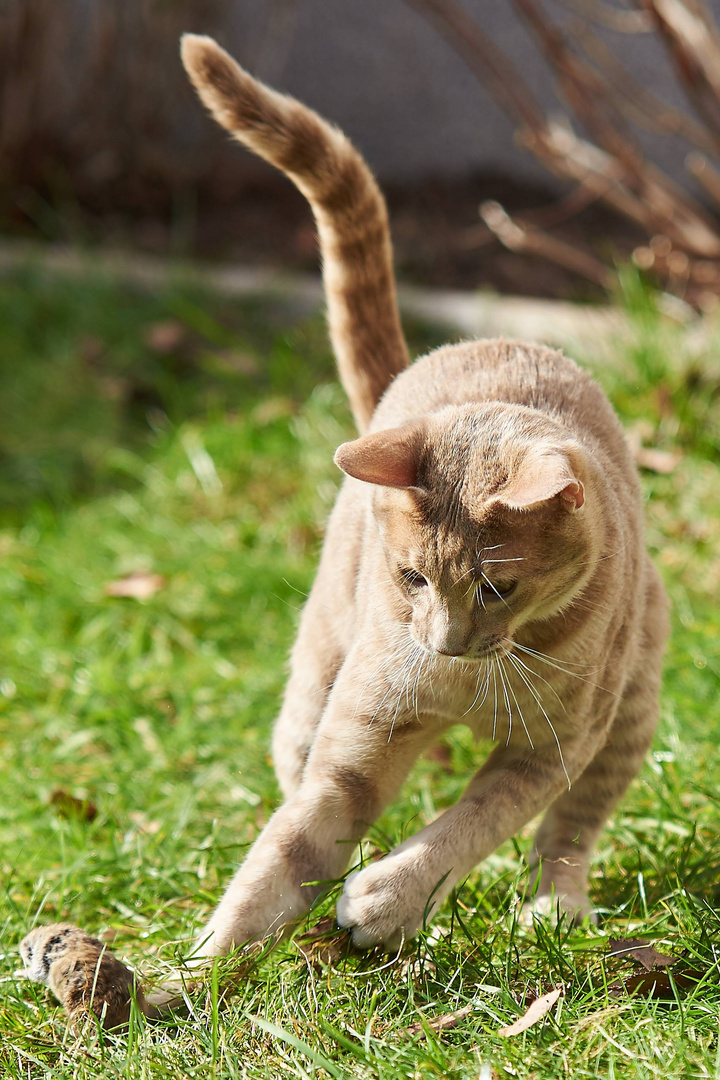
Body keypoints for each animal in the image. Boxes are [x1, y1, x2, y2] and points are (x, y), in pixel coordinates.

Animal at [180, 35, 669, 963]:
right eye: (410, 578)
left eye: (498, 587)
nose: (444, 645)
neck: (470, 688)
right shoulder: (356, 746)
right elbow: (284, 855)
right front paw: (197, 969)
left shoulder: (553, 749)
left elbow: (471, 825)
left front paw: (387, 899)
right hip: (315, 691)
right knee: (296, 776)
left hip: (629, 716)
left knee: (568, 837)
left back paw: (553, 909)